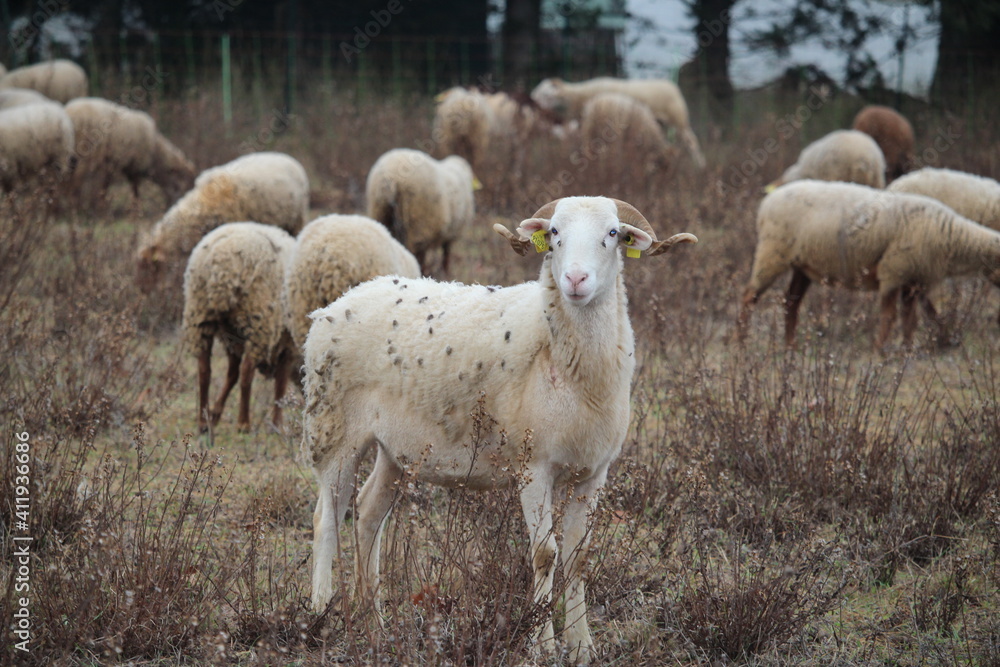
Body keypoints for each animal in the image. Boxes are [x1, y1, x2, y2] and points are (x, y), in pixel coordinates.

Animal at [66, 97, 195, 210]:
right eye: (184, 186)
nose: (177, 206)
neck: (156, 153)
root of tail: (71, 112)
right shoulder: (134, 163)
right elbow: (134, 187)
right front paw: (135, 209)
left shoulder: (115, 163)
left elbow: (106, 185)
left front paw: (102, 205)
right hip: (85, 155)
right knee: (76, 182)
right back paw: (75, 207)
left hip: (71, 157)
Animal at [182, 222, 297, 433]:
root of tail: (223, 261)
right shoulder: (288, 344)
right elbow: (281, 384)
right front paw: (278, 425)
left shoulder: (232, 338)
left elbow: (231, 375)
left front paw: (215, 413)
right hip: (258, 320)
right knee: (246, 373)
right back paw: (243, 423)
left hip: (200, 316)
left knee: (204, 371)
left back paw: (203, 421)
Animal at [301, 196, 697, 662]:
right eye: (555, 232)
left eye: (613, 233)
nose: (575, 279)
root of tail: (337, 303)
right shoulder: (533, 468)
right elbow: (545, 554)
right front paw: (542, 646)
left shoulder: (594, 472)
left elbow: (578, 557)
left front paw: (582, 647)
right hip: (333, 429)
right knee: (326, 518)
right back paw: (321, 615)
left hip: (395, 449)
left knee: (367, 513)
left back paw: (377, 626)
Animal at [531, 76, 706, 168]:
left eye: (547, 94)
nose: (533, 103)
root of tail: (671, 85)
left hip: (678, 119)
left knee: (691, 141)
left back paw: (699, 165)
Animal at [736, 180, 1000, 350]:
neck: (951, 235)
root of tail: (769, 199)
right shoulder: (893, 271)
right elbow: (890, 316)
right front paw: (880, 349)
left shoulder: (913, 278)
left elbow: (910, 318)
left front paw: (907, 349)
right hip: (772, 253)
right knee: (749, 296)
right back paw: (743, 341)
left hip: (802, 265)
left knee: (791, 302)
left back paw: (790, 345)